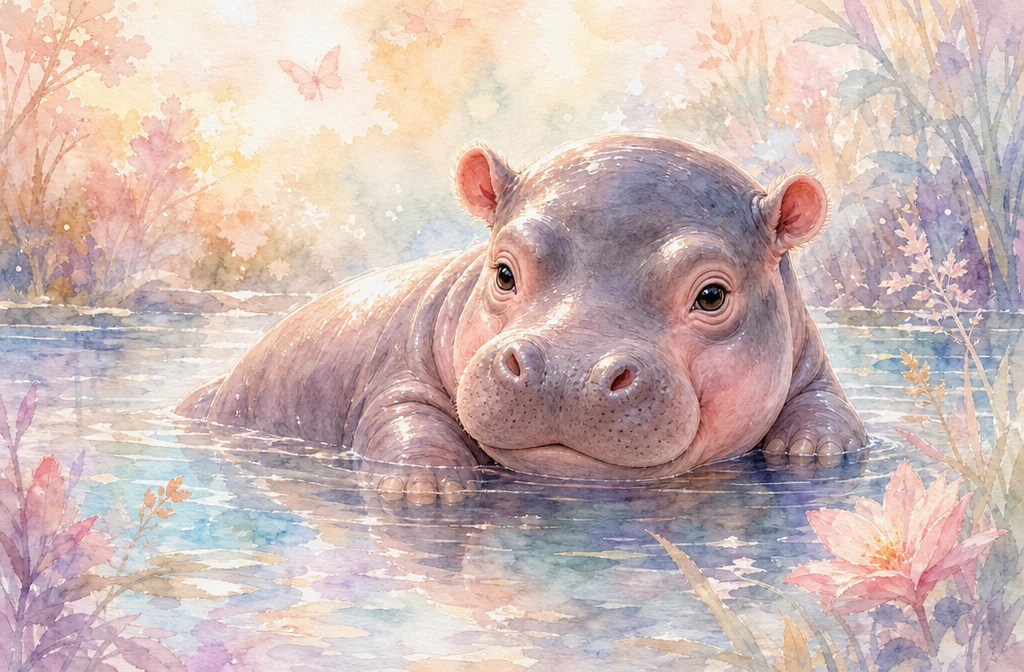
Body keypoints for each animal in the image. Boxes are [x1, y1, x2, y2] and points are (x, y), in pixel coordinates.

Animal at [177, 134, 866, 502]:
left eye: (713, 295)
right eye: (503, 272)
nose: (566, 369)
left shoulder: (810, 357)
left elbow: (830, 410)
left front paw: (815, 451)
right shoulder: (399, 366)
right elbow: (403, 415)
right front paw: (426, 485)